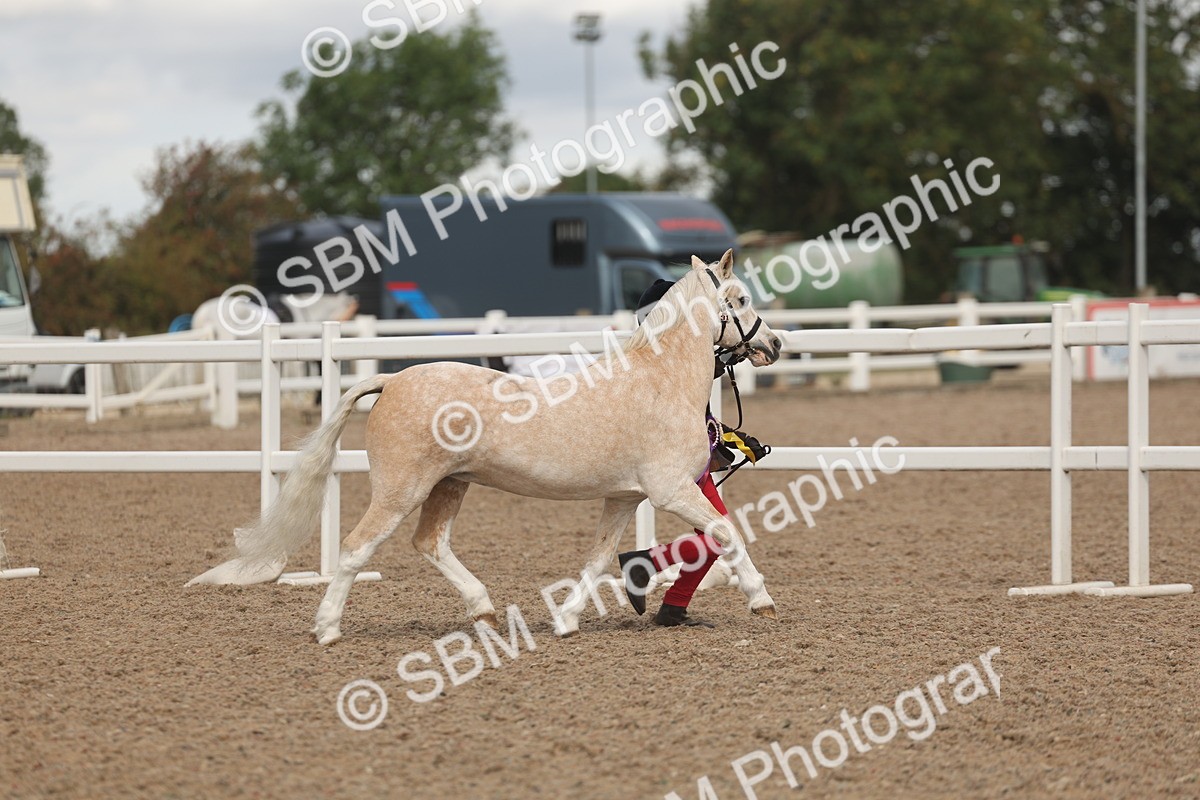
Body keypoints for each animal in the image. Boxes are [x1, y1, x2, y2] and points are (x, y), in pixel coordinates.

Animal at [188, 250, 783, 644]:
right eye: (740, 299)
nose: (775, 344)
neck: (658, 380)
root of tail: (393, 380)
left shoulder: (623, 497)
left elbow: (596, 560)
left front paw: (566, 621)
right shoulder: (671, 490)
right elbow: (725, 532)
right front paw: (762, 600)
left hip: (449, 486)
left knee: (429, 544)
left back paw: (485, 612)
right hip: (401, 490)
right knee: (357, 549)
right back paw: (327, 629)